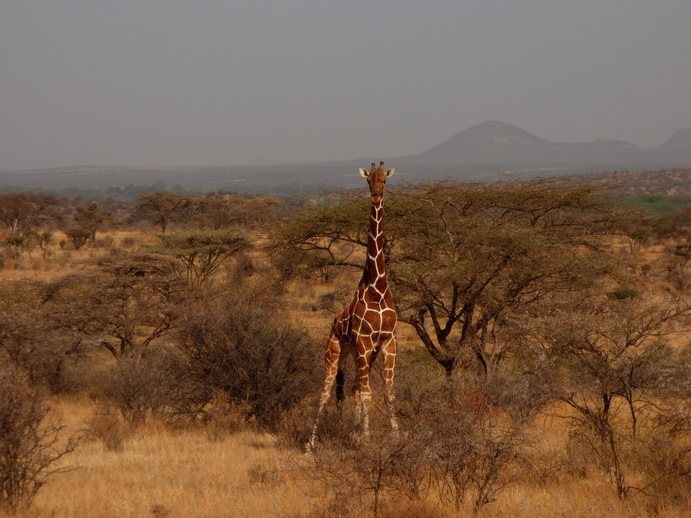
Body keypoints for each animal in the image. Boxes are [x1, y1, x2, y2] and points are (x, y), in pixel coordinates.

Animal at [310, 161, 400, 450]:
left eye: (384, 180)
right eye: (368, 181)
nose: (375, 196)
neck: (378, 289)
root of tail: (333, 322)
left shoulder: (388, 341)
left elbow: (387, 393)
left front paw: (396, 437)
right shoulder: (363, 340)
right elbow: (368, 394)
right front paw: (368, 439)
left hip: (361, 354)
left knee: (353, 390)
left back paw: (353, 431)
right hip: (335, 351)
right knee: (325, 393)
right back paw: (310, 444)